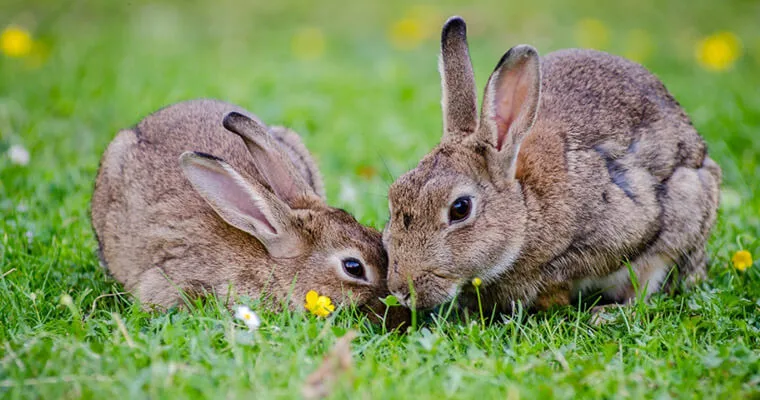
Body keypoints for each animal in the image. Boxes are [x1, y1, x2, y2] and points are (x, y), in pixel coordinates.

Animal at [382, 17, 720, 312]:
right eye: (394, 196)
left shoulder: (622, 228)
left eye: (460, 208)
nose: (400, 290)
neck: (526, 209)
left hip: (686, 209)